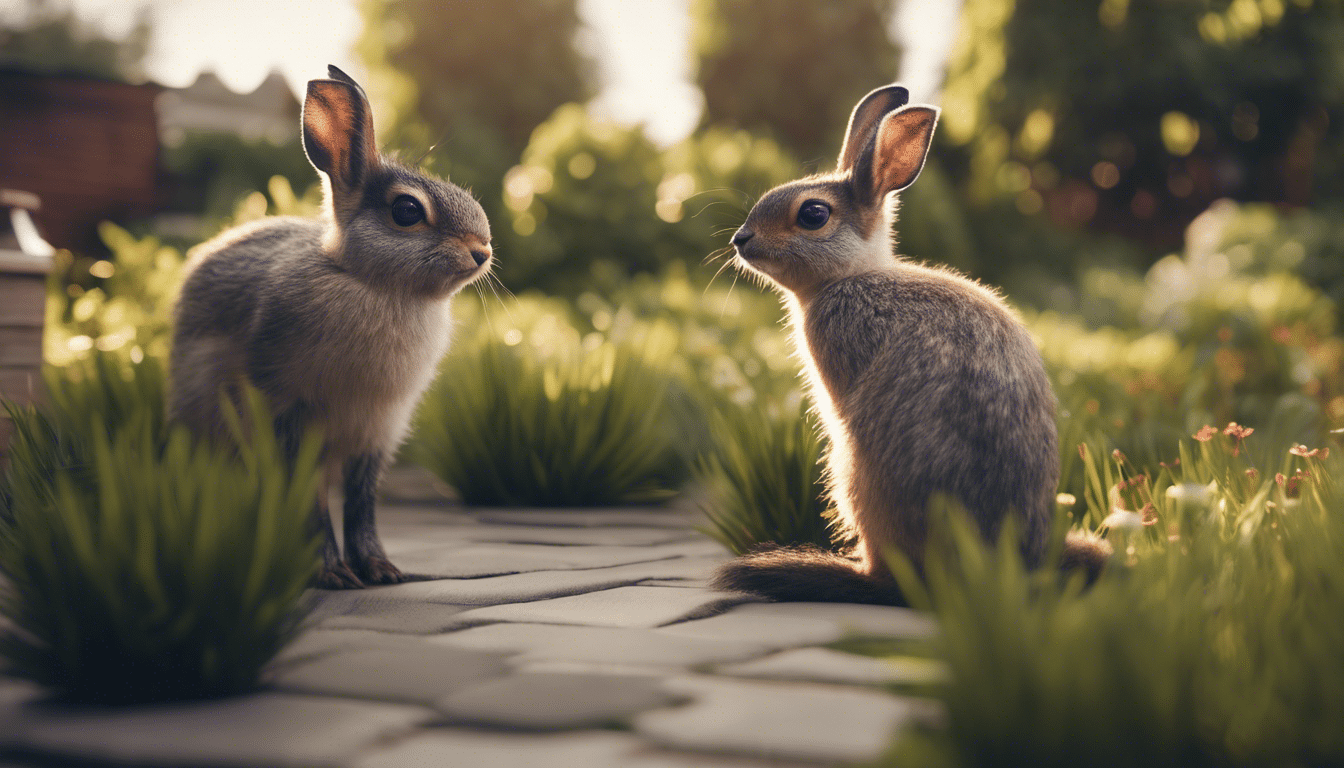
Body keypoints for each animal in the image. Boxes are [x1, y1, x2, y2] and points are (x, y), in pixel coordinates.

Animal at [168, 67, 494, 594]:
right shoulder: (290, 417)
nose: (482, 250)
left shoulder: (377, 431)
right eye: (407, 211)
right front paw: (332, 574)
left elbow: (362, 505)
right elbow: (314, 501)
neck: (373, 284)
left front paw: (381, 570)